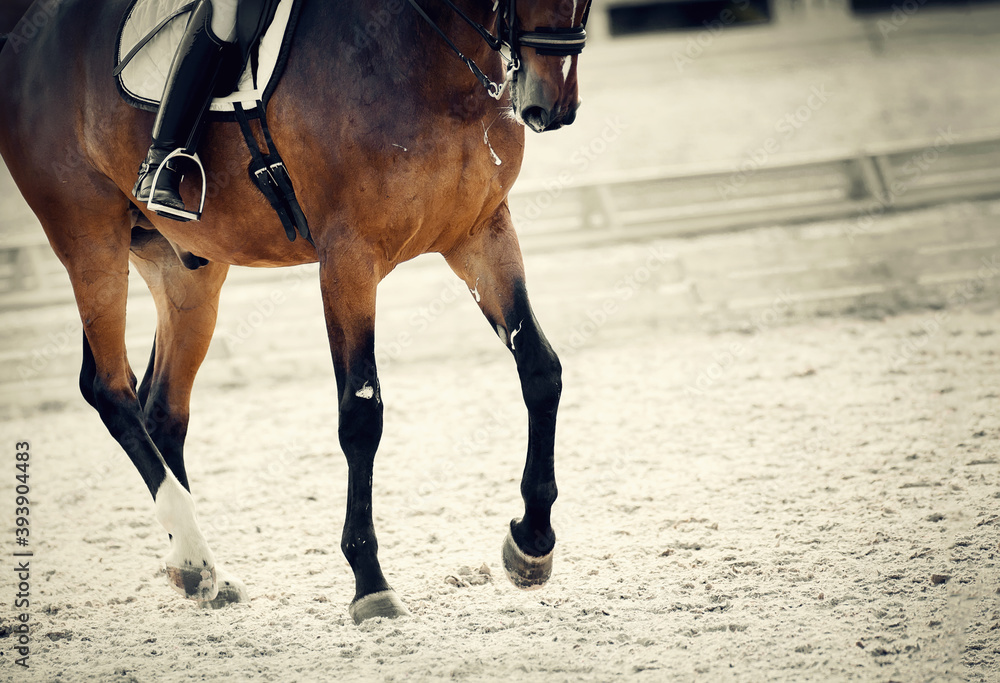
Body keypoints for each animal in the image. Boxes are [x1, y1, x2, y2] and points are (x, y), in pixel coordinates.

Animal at [0, 0, 586, 622]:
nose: (550, 106)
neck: (430, 58)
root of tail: (23, 38)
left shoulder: (480, 232)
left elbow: (541, 370)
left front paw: (531, 543)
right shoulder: (348, 257)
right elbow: (361, 415)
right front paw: (370, 582)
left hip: (185, 268)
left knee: (162, 409)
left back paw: (202, 571)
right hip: (89, 239)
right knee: (109, 389)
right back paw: (193, 559)